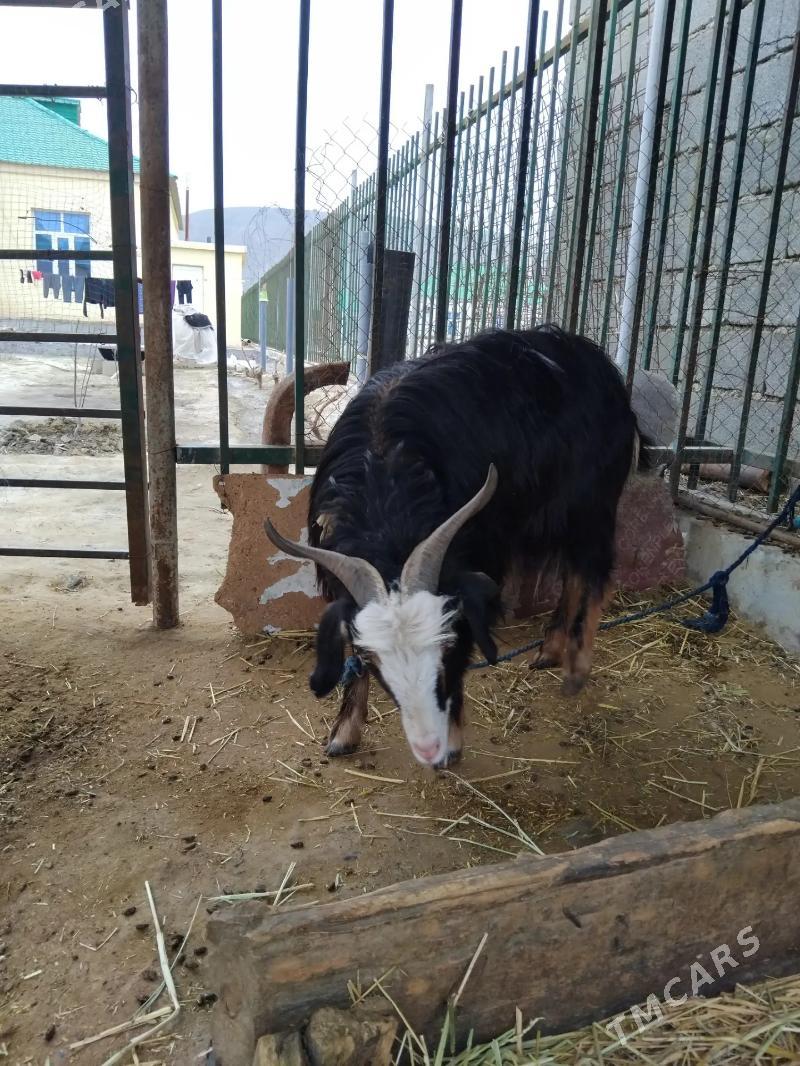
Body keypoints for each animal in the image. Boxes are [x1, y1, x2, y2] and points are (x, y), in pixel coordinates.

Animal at [266, 325, 645, 768]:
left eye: (445, 645)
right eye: (375, 659)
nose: (428, 745)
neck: (386, 484)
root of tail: (598, 362)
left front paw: (452, 741)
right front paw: (344, 733)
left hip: (592, 501)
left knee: (596, 571)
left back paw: (577, 668)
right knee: (572, 573)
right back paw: (549, 651)